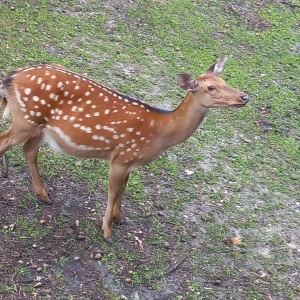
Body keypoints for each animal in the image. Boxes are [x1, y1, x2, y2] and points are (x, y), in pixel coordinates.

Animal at [0, 57, 248, 243]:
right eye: (211, 87)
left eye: (224, 80)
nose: (244, 96)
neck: (161, 132)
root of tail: (10, 77)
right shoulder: (121, 157)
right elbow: (112, 192)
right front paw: (107, 232)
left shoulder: (130, 161)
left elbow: (123, 189)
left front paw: (120, 218)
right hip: (27, 119)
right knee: (5, 143)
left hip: (38, 126)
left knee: (29, 150)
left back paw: (43, 194)